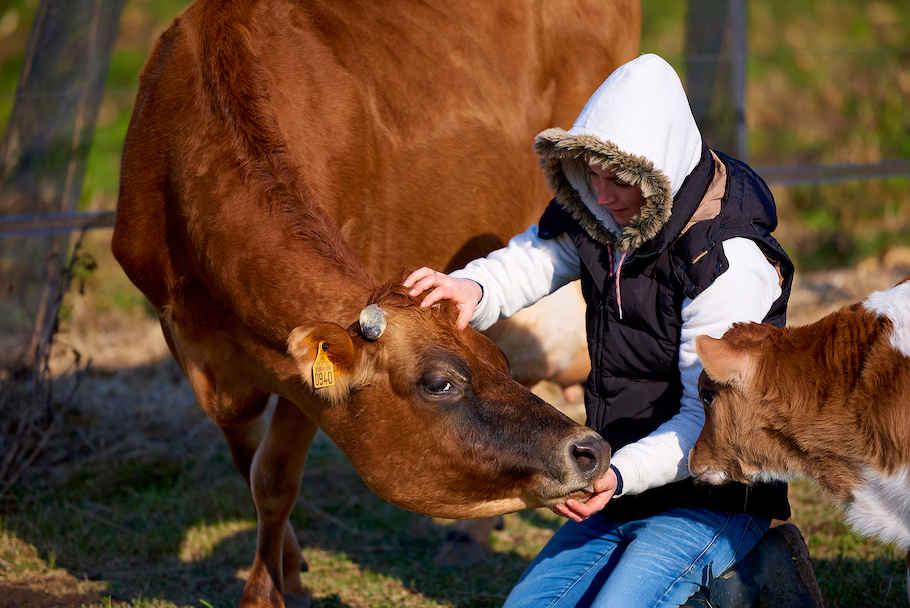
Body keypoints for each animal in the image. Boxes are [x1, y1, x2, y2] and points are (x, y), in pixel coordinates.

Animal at [114, 0, 636, 604]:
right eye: (440, 383)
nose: (590, 451)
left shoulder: (300, 375)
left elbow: (273, 479)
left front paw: (267, 593)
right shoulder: (191, 342)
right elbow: (247, 465)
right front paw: (289, 570)